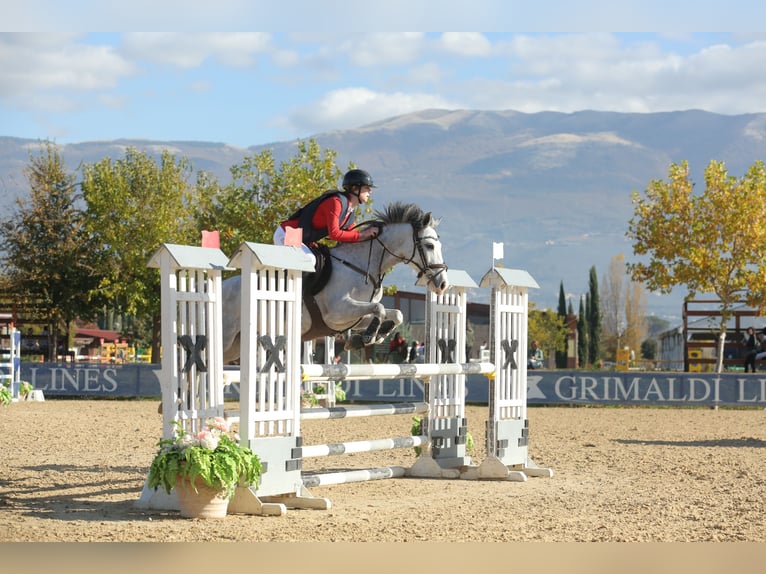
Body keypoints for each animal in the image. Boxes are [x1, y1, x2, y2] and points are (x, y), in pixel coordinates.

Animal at [220, 202, 450, 364]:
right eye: (429, 246)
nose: (442, 284)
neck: (361, 265)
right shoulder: (338, 312)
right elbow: (380, 308)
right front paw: (367, 338)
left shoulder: (353, 318)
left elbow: (395, 313)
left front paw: (371, 336)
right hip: (226, 339)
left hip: (236, 344)